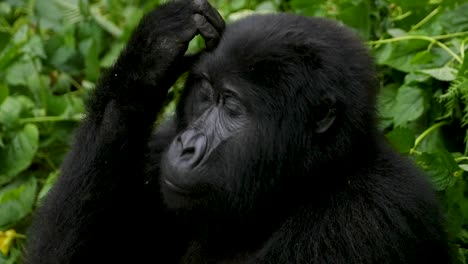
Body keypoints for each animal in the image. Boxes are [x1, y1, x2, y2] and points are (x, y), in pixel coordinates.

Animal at [23, 0, 452, 264]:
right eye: (205, 93)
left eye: (231, 105)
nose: (187, 146)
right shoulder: (160, 145)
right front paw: (152, 54)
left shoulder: (366, 216)